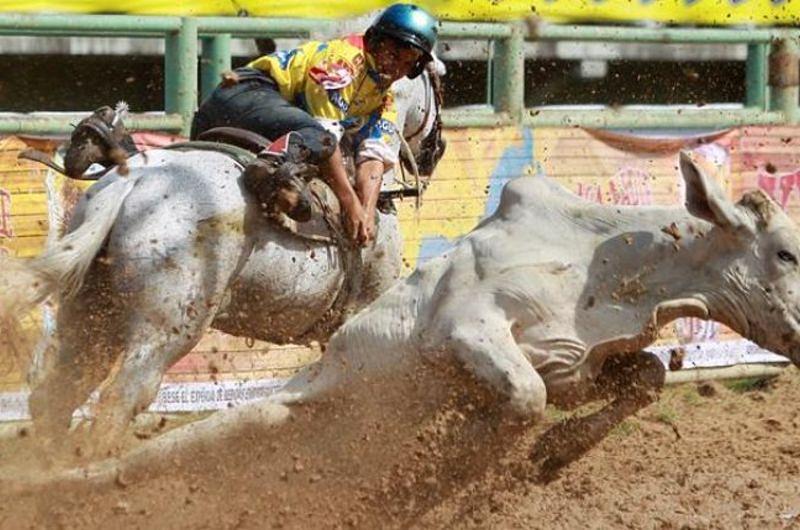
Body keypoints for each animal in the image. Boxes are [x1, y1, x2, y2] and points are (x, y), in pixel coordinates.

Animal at [268, 151, 800, 472]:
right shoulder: (465, 327)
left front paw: (555, 451)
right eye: (786, 253)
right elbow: (526, 396)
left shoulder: (575, 368)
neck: (600, 265)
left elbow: (646, 376)